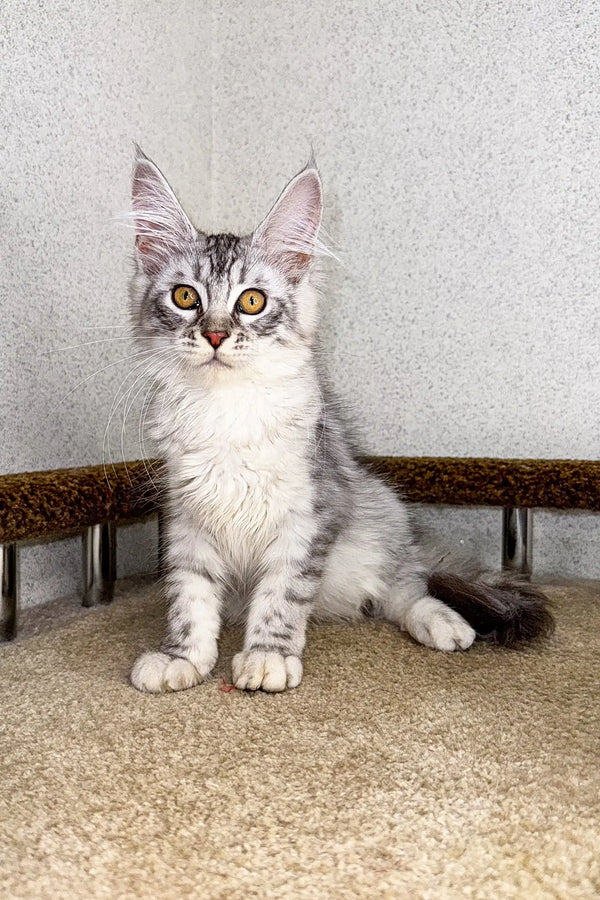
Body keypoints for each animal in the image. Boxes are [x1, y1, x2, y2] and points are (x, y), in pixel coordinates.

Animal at [127, 149, 552, 696]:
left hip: (377, 511)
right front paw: (183, 657)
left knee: (405, 587)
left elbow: (281, 596)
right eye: (185, 298)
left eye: (251, 301)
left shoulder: (311, 512)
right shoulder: (187, 517)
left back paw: (443, 622)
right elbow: (190, 597)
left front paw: (267, 656)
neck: (228, 408)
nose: (216, 335)